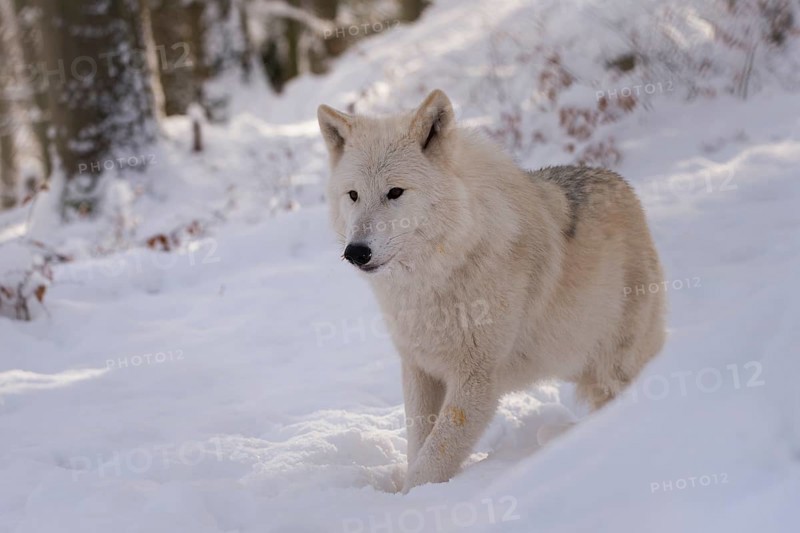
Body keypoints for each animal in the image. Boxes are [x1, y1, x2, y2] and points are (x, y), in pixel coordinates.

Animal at [317, 90, 666, 493]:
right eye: (353, 195)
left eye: (395, 192)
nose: (356, 252)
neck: (435, 279)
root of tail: (623, 184)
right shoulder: (419, 369)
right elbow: (418, 444)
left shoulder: (477, 380)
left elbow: (432, 459)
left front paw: (413, 499)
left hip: (616, 364)